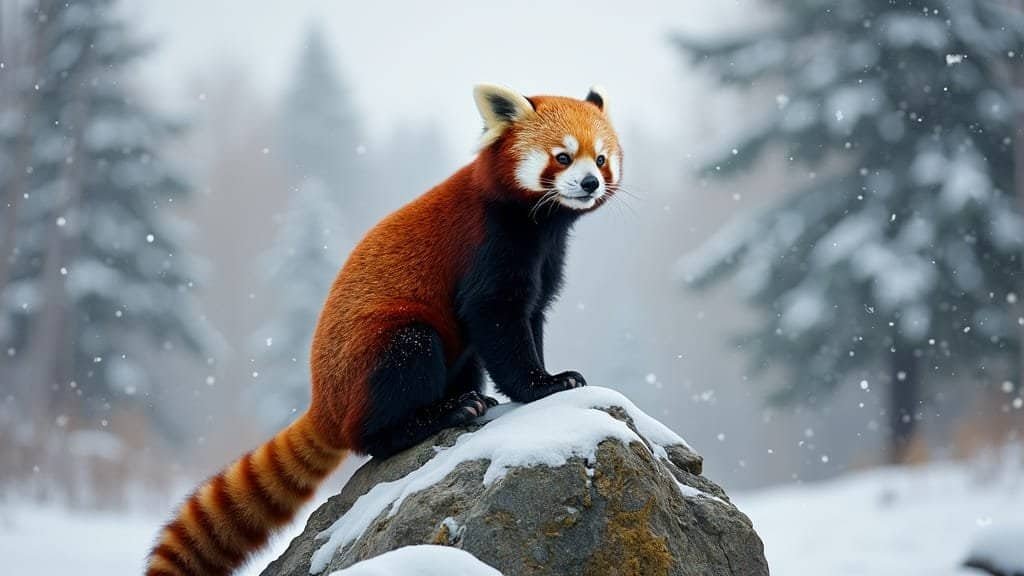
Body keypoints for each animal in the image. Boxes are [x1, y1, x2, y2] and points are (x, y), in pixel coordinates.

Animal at [146, 81, 622, 573]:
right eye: (563, 157)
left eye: (601, 158)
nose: (591, 182)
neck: (538, 224)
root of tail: (324, 402)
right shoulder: (489, 246)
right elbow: (497, 321)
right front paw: (543, 385)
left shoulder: (545, 260)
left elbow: (532, 315)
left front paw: (550, 376)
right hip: (385, 345)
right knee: (397, 379)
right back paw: (440, 415)